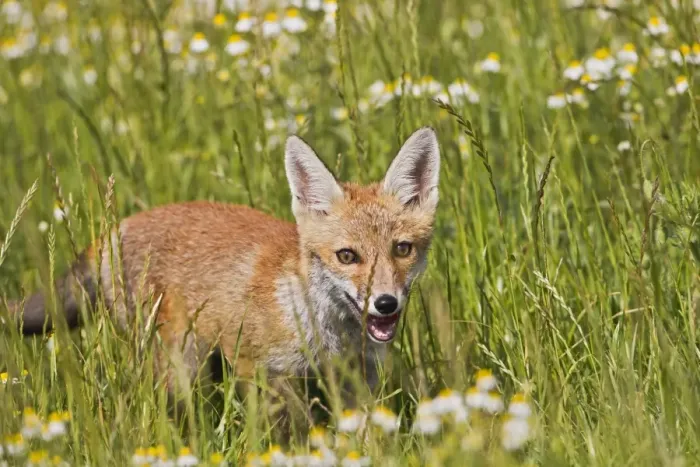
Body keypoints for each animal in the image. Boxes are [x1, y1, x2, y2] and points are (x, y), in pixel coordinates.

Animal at [8, 126, 440, 424]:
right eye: (347, 256)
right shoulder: (259, 369)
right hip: (180, 366)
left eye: (402, 249)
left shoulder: (359, 380)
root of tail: (116, 228)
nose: (385, 303)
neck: (326, 336)